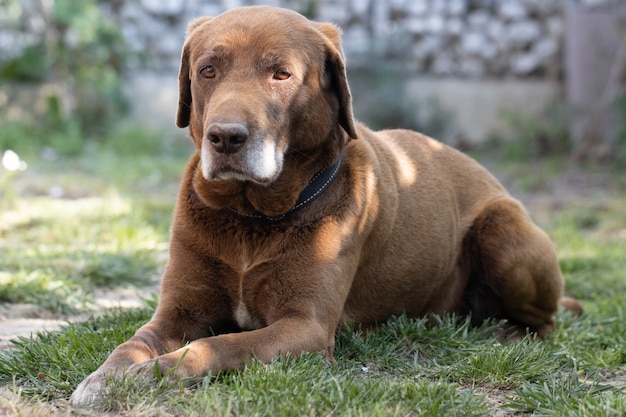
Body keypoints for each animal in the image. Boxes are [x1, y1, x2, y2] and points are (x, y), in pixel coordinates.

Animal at [69, 4, 580, 404]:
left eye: (282, 74)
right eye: (207, 70)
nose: (226, 137)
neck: (252, 217)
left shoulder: (304, 327)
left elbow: (220, 346)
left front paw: (147, 376)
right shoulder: (178, 311)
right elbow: (133, 342)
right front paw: (106, 379)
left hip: (504, 229)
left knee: (547, 319)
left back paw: (504, 331)